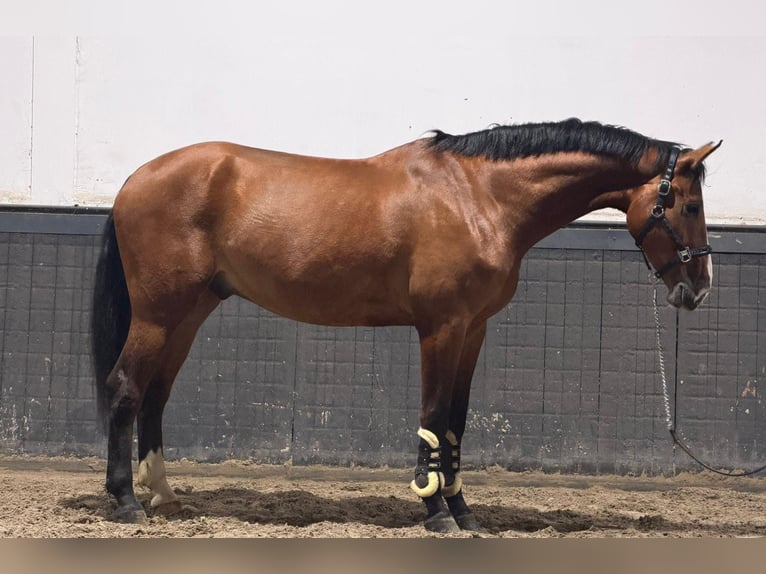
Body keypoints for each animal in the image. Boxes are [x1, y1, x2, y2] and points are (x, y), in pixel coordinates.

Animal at [91, 118, 719, 533]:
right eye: (689, 206)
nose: (698, 290)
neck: (479, 196)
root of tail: (134, 179)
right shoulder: (441, 327)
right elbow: (434, 417)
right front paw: (435, 509)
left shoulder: (474, 330)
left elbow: (457, 424)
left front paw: (464, 511)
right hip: (158, 312)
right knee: (126, 388)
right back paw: (125, 501)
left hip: (190, 310)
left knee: (155, 394)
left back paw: (164, 497)